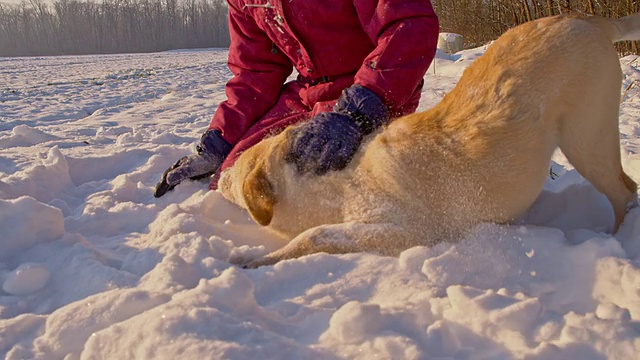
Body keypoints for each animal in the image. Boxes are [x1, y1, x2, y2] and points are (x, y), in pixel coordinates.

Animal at [219, 13, 640, 268]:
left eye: (235, 174)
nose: (218, 175)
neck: (330, 183)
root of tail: (590, 20)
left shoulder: (405, 231)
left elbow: (314, 235)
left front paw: (255, 260)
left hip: (586, 139)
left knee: (625, 190)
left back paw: (619, 239)